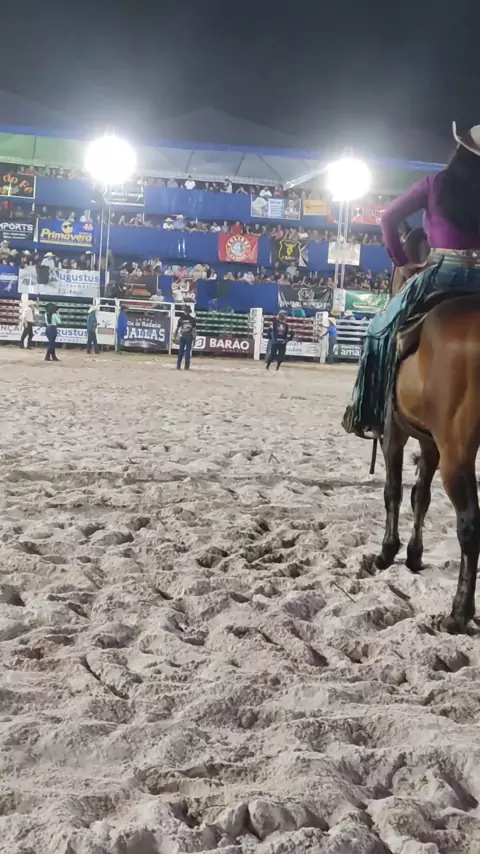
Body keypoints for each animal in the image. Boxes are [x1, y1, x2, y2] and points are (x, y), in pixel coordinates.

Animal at [373, 292, 480, 634]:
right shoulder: (429, 443)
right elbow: (421, 496)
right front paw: (414, 555)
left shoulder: (393, 433)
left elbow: (392, 490)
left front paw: (387, 550)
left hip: (456, 456)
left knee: (470, 526)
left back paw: (458, 614)